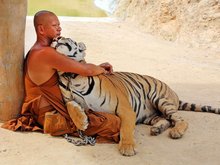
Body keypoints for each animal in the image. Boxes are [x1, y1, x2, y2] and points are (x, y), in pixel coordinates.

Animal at [50, 36, 220, 157]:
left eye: (66, 37)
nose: (57, 38)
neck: (70, 75)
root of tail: (174, 93)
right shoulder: (68, 99)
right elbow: (70, 106)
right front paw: (82, 121)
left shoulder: (125, 108)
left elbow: (125, 128)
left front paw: (127, 148)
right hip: (149, 116)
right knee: (166, 120)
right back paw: (157, 129)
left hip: (160, 99)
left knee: (180, 119)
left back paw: (176, 132)